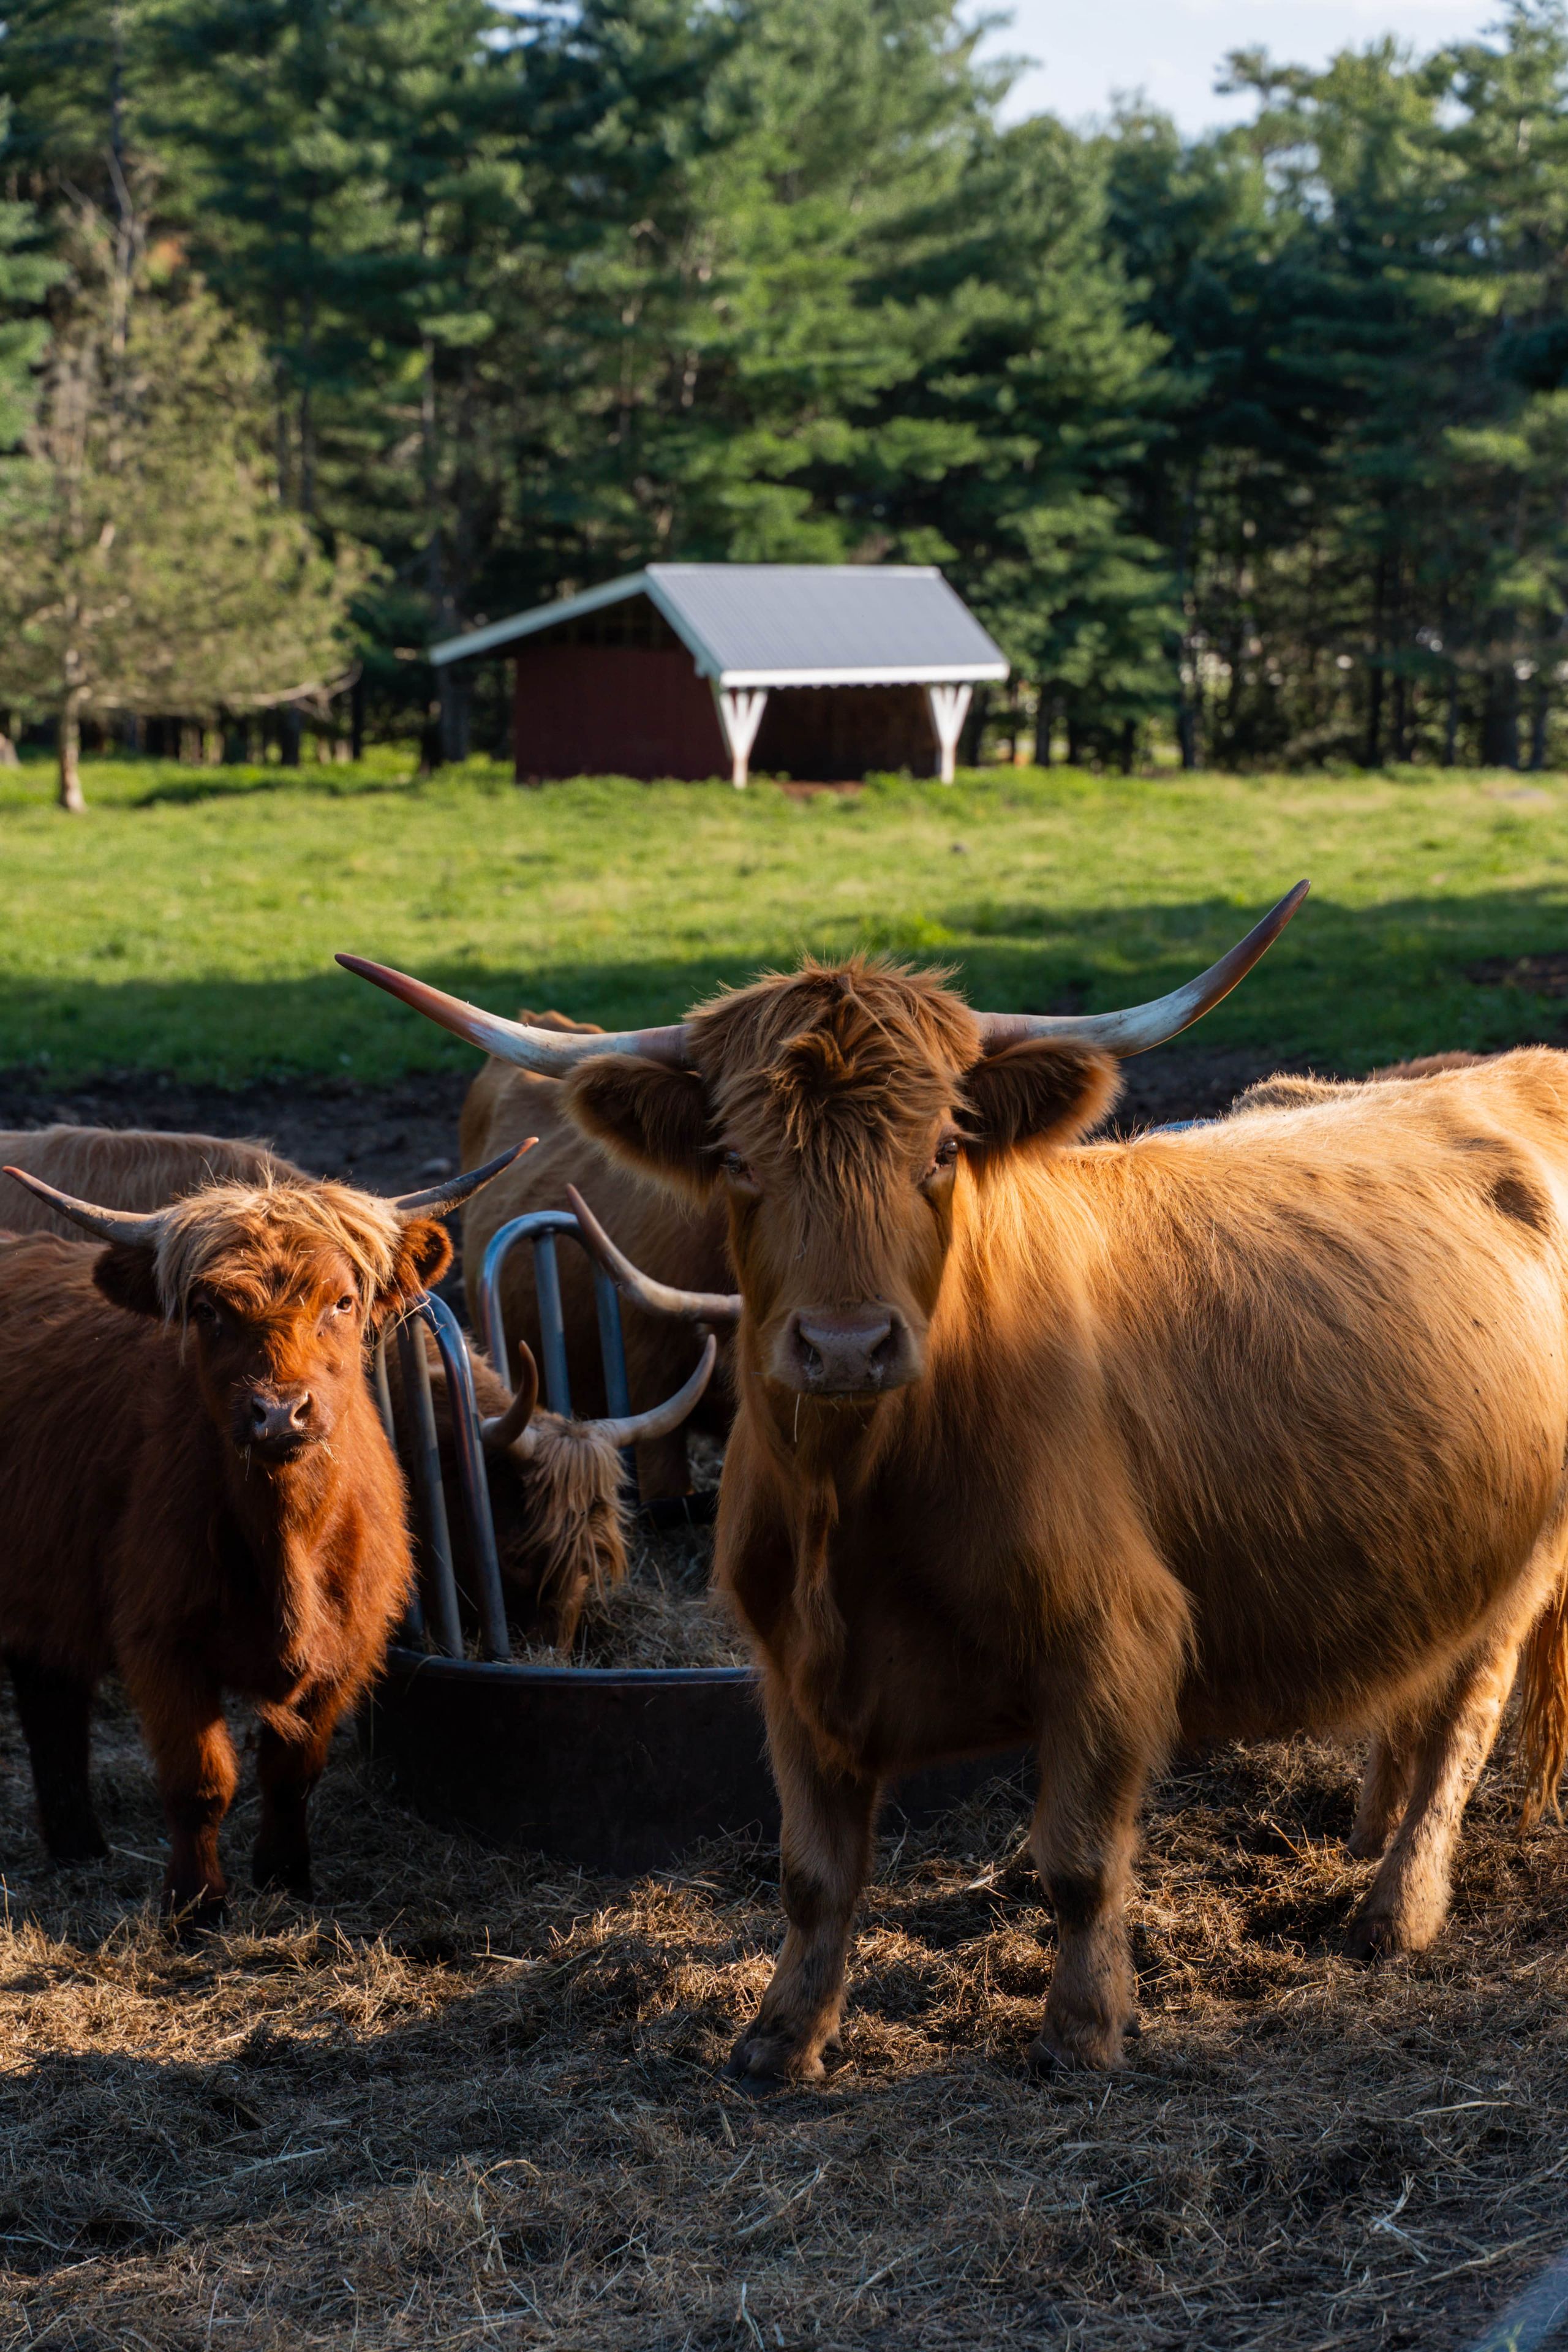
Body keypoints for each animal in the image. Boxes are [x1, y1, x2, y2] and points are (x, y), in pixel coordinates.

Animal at [0, 1150, 520, 1928]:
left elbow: (292, 1771)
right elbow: (200, 1782)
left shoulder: (347, 1647)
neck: (287, 1545)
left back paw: (78, 1847)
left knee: (48, 1694)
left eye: (342, 1302)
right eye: (207, 1311)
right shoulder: (161, 1642)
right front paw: (197, 1907)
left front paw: (285, 1878)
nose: (279, 1412)